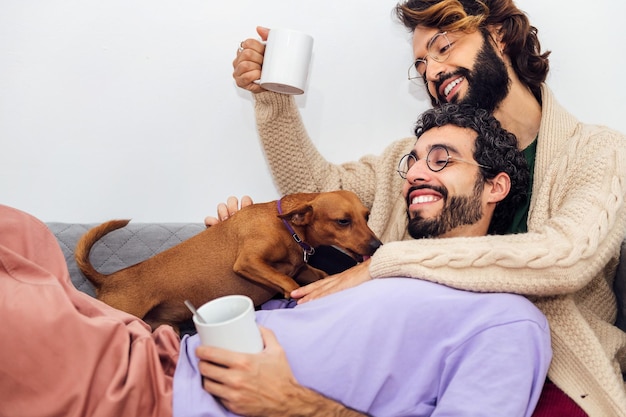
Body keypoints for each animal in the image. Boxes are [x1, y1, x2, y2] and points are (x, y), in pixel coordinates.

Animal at [76, 192, 382, 332]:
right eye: (343, 221)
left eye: (366, 216)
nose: (378, 246)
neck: (285, 226)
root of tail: (107, 279)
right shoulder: (248, 261)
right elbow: (287, 282)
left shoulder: (305, 270)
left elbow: (316, 276)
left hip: (164, 328)